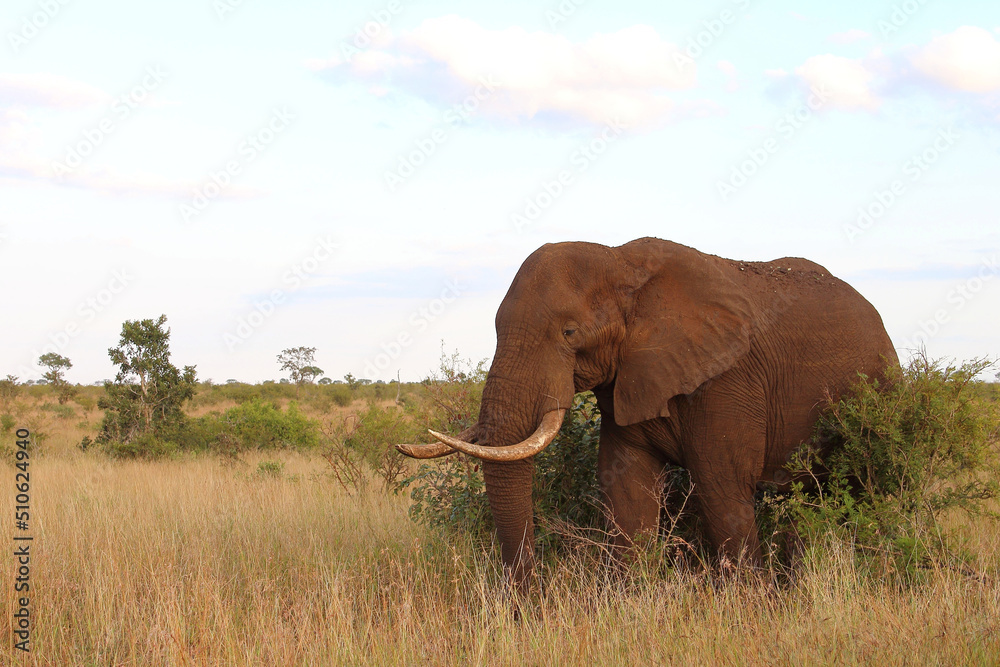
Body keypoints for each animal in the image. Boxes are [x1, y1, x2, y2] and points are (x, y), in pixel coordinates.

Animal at [397, 237, 898, 589]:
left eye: (569, 332)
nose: (529, 606)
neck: (621, 262)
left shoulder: (727, 380)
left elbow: (721, 488)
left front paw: (751, 607)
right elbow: (628, 491)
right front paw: (628, 601)